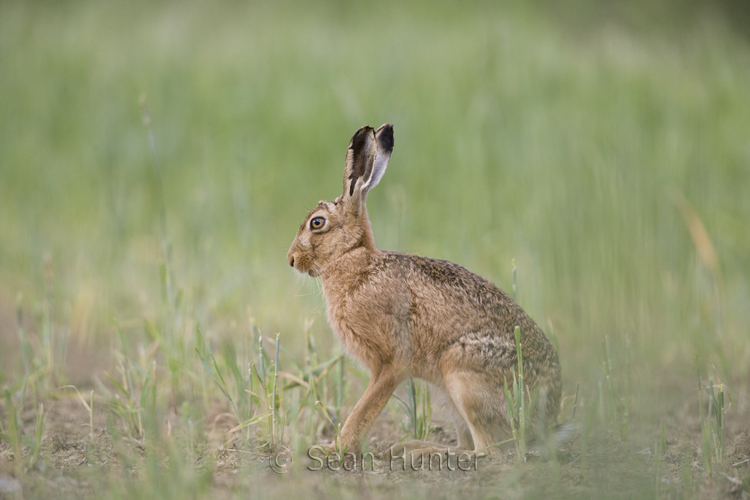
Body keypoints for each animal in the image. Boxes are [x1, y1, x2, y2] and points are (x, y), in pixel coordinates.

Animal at [287, 124, 562, 460]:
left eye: (317, 223)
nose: (291, 260)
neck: (354, 259)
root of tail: (545, 420)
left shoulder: (392, 362)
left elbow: (364, 409)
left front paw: (335, 449)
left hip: (461, 373)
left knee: (487, 450)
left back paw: (420, 453)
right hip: (445, 389)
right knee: (469, 442)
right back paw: (411, 447)